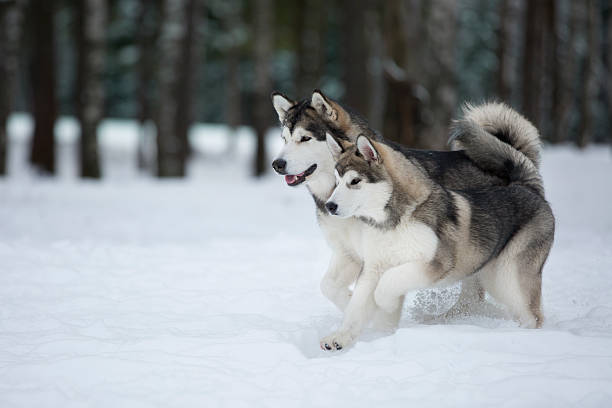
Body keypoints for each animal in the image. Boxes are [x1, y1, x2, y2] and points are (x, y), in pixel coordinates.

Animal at [322, 126, 556, 350]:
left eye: (354, 181)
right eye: (336, 181)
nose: (329, 206)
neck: (395, 220)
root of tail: (526, 187)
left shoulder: (435, 263)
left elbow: (388, 283)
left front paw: (385, 304)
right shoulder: (373, 268)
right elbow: (356, 308)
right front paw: (341, 338)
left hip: (508, 276)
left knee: (533, 315)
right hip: (492, 277)